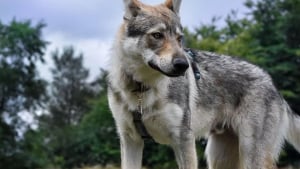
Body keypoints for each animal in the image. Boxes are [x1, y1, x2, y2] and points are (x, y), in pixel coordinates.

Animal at [107, 0, 300, 168]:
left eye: (179, 38)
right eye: (157, 35)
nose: (183, 65)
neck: (141, 89)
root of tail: (272, 83)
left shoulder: (183, 139)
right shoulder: (130, 140)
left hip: (251, 156)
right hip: (219, 158)